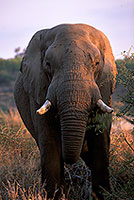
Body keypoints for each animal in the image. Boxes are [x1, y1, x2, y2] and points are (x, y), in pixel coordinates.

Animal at [13, 24, 116, 199]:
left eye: (96, 63)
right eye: (48, 64)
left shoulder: (104, 87)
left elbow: (100, 141)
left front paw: (104, 195)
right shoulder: (39, 90)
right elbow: (49, 142)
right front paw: (55, 196)